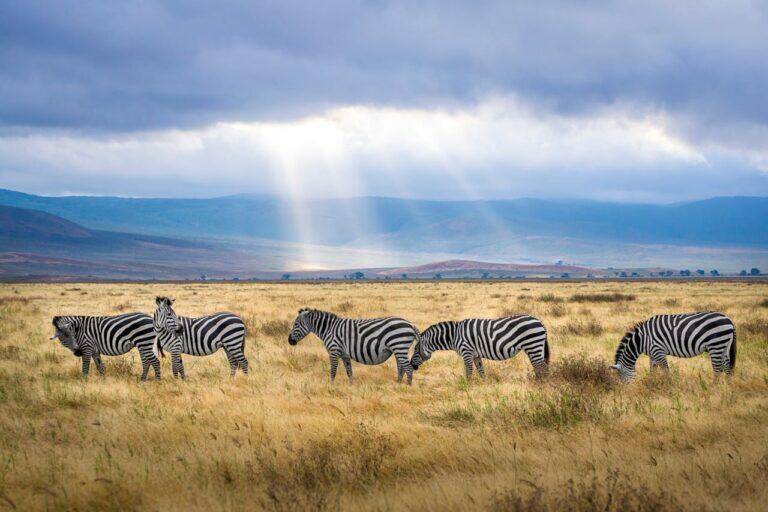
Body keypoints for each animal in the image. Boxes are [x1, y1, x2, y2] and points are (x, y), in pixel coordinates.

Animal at [288, 308, 420, 384]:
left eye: (296, 324)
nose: (289, 341)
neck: (329, 329)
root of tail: (410, 325)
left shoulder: (334, 351)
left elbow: (333, 371)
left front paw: (331, 386)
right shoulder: (344, 354)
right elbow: (349, 371)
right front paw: (351, 387)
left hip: (399, 346)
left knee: (408, 369)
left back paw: (407, 388)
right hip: (399, 349)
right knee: (401, 368)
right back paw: (398, 385)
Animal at [410, 315, 550, 378]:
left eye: (416, 350)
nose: (412, 365)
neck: (454, 336)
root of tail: (540, 322)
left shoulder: (466, 352)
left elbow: (469, 371)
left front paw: (467, 387)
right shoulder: (476, 355)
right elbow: (481, 371)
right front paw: (483, 385)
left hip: (533, 345)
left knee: (541, 367)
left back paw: (540, 385)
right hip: (535, 347)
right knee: (541, 367)